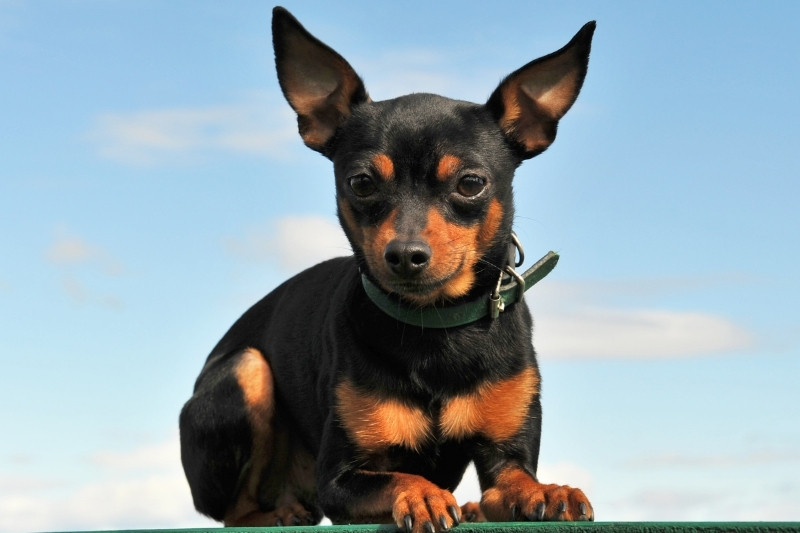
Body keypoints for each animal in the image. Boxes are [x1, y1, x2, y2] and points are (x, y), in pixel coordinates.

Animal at [180, 6, 592, 528]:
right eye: (361, 182)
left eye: (471, 183)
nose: (405, 255)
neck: (435, 327)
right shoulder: (339, 482)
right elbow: (400, 477)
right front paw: (423, 495)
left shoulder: (506, 457)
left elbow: (516, 483)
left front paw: (548, 490)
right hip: (247, 370)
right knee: (237, 511)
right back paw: (280, 514)